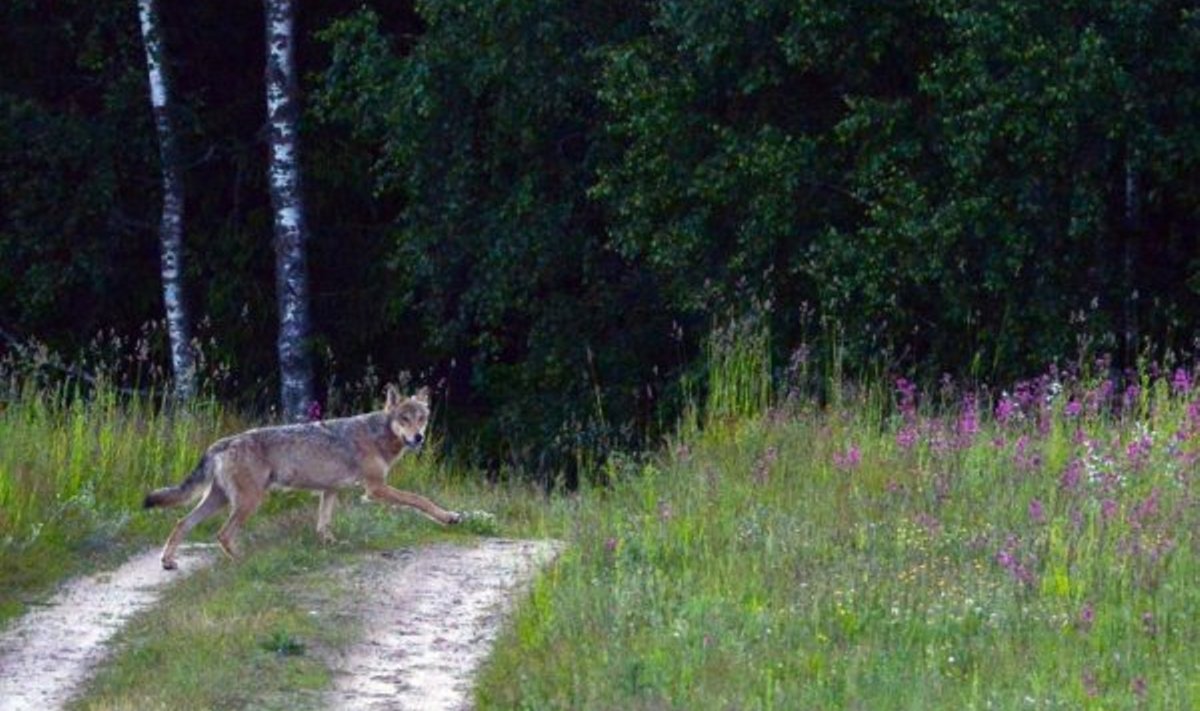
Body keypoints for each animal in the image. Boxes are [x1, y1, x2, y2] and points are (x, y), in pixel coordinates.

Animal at [141, 386, 458, 569]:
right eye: (404, 419)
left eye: (421, 418)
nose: (418, 438)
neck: (377, 435)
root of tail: (220, 443)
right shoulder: (375, 489)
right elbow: (419, 499)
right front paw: (449, 517)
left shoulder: (330, 491)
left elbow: (323, 524)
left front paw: (331, 545)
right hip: (248, 502)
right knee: (222, 534)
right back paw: (244, 561)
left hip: (218, 501)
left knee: (182, 522)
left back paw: (168, 561)